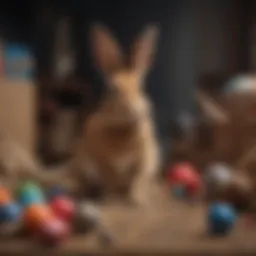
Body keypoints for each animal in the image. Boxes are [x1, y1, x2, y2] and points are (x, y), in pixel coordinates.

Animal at [74, 23, 161, 205]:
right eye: (113, 90)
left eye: (141, 87)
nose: (133, 109)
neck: (123, 127)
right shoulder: (102, 162)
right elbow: (110, 179)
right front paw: (111, 199)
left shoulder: (144, 160)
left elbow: (137, 179)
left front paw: (137, 201)